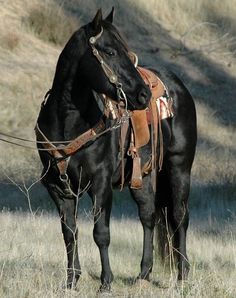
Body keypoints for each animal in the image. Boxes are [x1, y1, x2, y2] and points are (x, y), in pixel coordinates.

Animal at [36, 8, 196, 292]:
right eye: (110, 51)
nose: (143, 95)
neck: (68, 123)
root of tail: (179, 88)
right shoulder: (56, 187)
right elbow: (69, 233)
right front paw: (71, 281)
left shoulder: (100, 183)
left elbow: (101, 233)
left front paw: (106, 283)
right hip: (141, 177)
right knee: (148, 215)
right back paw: (143, 274)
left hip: (179, 168)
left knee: (179, 217)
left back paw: (182, 277)